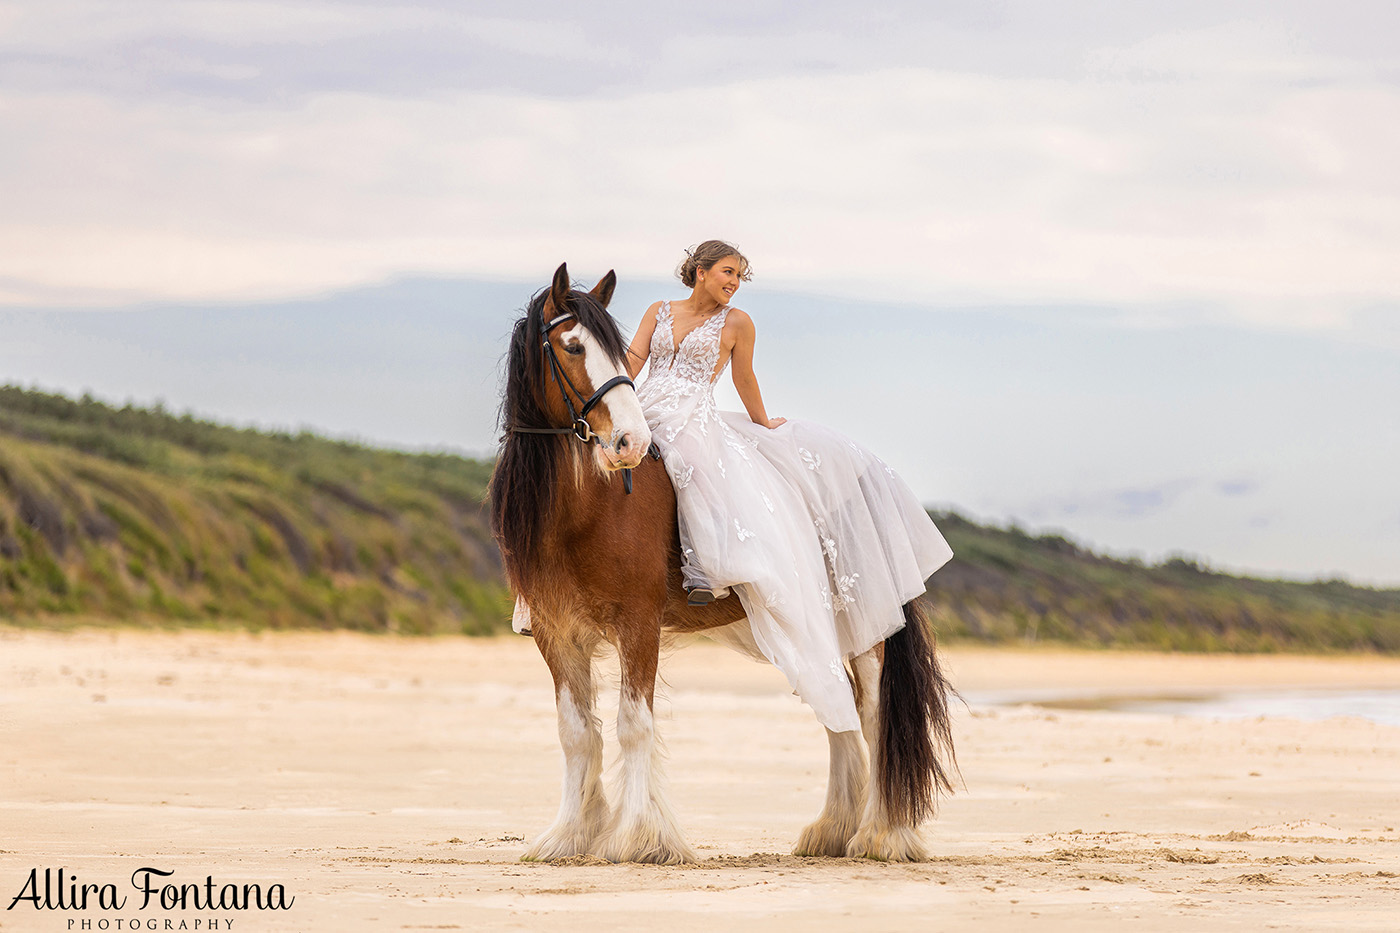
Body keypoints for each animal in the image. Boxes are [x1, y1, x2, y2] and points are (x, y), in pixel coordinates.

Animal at [487, 259, 957, 857]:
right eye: (572, 347)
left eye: (614, 351)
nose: (630, 442)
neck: (588, 504)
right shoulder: (556, 631)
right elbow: (576, 733)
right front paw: (570, 835)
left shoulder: (638, 624)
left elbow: (632, 725)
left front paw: (637, 838)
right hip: (816, 627)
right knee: (839, 713)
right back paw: (832, 829)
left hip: (864, 624)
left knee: (873, 714)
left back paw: (880, 835)